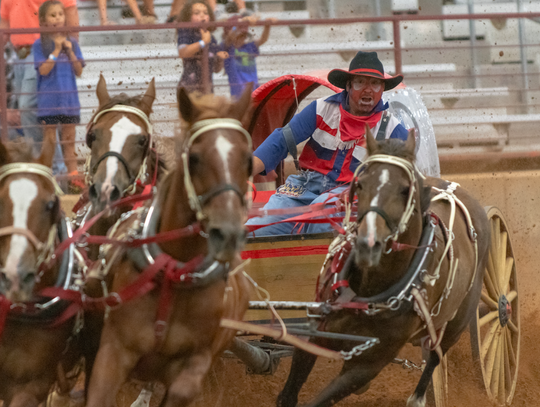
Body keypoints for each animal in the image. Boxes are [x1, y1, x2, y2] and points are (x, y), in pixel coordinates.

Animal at [84, 84, 253, 406]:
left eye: (142, 140)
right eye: (91, 136)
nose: (107, 189)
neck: (174, 270)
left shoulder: (197, 358)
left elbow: (181, 388)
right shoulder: (110, 351)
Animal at [276, 128, 492, 407]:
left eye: (404, 189)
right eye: (360, 184)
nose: (368, 243)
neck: (370, 291)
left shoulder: (369, 364)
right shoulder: (315, 335)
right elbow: (288, 394)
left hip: (457, 322)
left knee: (436, 356)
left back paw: (418, 397)